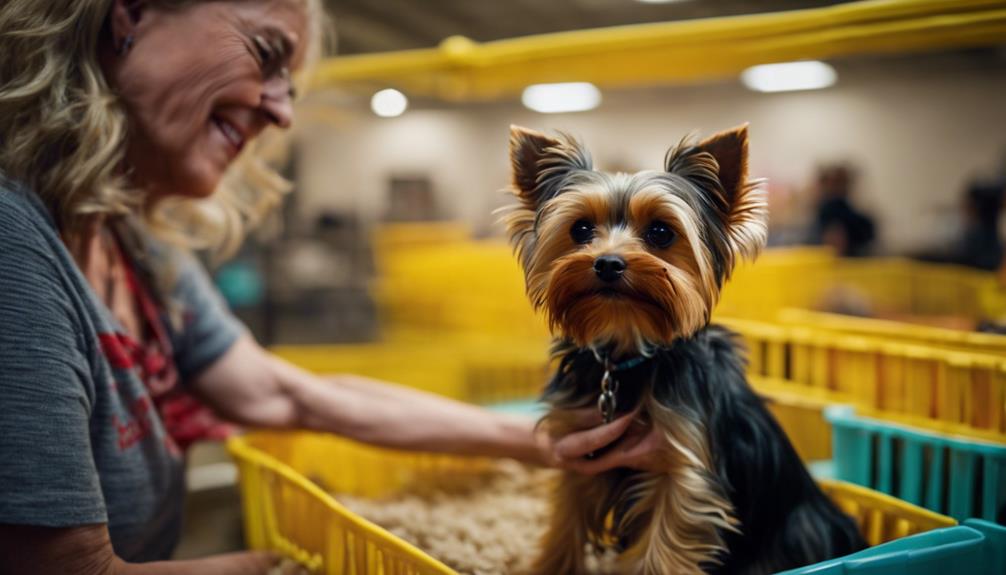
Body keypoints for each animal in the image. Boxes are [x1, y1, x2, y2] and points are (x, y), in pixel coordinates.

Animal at [503, 123, 865, 570]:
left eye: (661, 232)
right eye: (581, 230)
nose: (607, 263)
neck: (628, 357)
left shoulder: (683, 473)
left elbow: (660, 549)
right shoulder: (577, 449)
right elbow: (563, 529)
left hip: (803, 526)